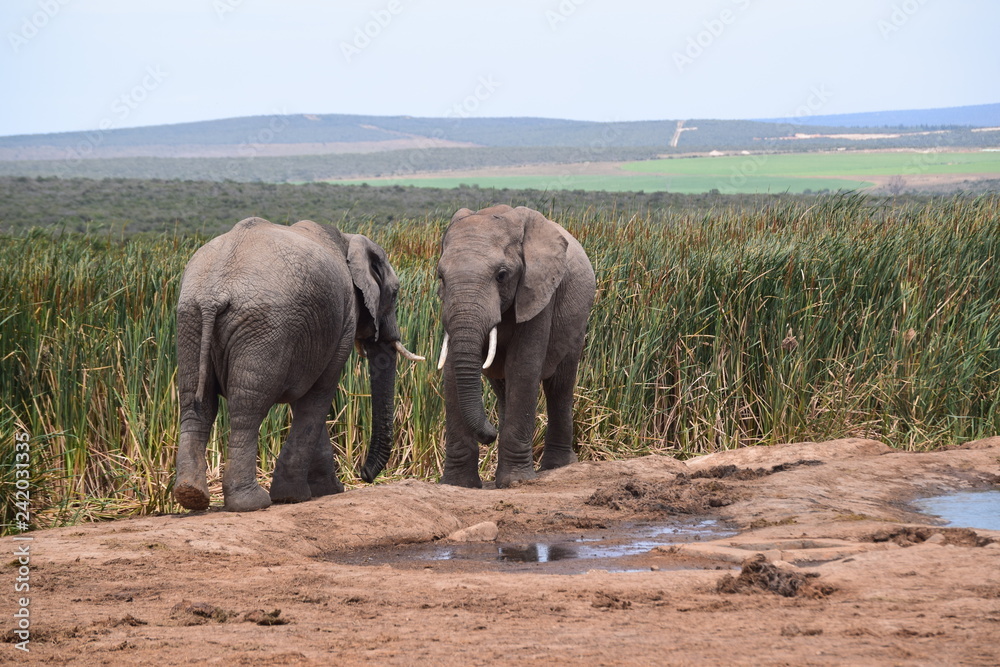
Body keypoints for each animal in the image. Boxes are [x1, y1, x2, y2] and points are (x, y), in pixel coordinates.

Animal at [173, 216, 423, 512]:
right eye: (394, 294)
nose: (364, 474)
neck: (347, 239)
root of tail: (214, 292)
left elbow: (306, 400)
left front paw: (327, 490)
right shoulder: (342, 321)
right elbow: (319, 394)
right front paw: (294, 496)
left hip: (190, 319)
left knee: (195, 401)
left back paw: (190, 495)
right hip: (264, 325)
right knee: (247, 405)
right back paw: (252, 502)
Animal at [435, 205, 596, 488]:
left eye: (501, 276)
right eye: (441, 277)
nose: (489, 434)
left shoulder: (539, 292)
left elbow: (523, 367)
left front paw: (516, 482)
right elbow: (453, 373)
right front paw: (458, 484)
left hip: (577, 324)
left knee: (559, 386)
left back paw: (558, 466)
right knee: (503, 389)